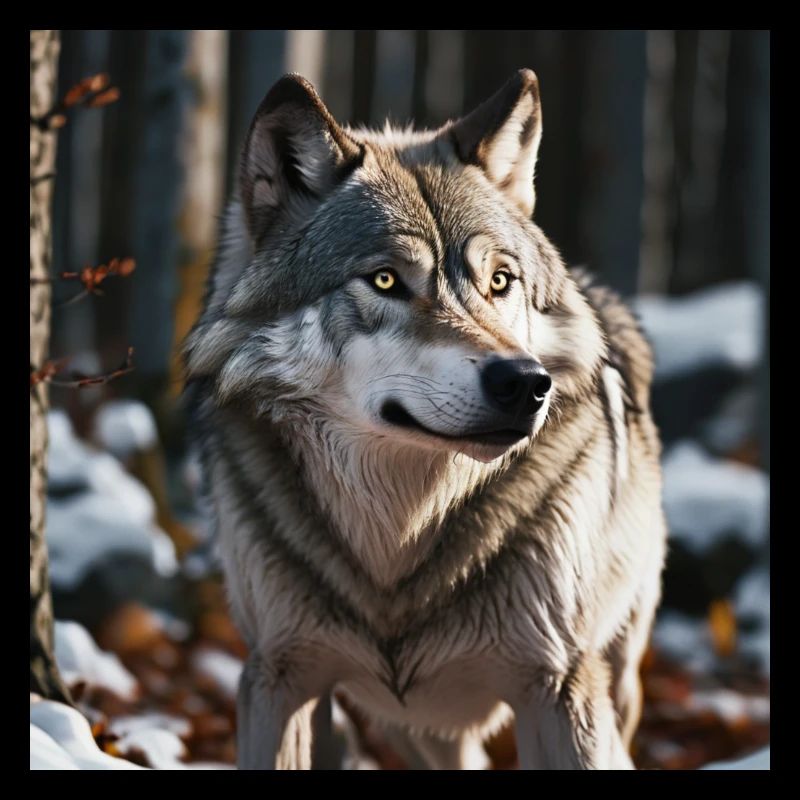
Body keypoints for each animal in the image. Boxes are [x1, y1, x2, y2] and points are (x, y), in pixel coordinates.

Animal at [184, 69, 667, 770]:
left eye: (500, 281)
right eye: (385, 280)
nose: (526, 383)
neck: (400, 539)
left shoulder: (559, 687)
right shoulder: (280, 676)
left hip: (615, 679)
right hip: (413, 730)